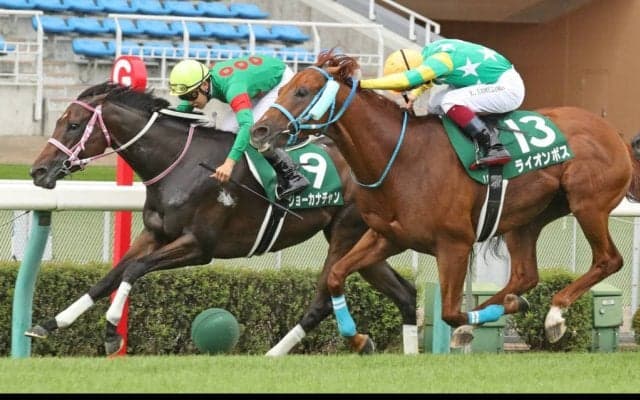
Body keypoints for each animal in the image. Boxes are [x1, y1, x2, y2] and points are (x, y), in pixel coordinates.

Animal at [26, 81, 417, 356]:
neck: (180, 165)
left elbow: (134, 271)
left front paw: (110, 332)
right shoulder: (154, 235)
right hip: (363, 241)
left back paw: (276, 352)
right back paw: (386, 346)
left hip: (344, 232)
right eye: (60, 122)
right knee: (406, 291)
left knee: (323, 299)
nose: (37, 171)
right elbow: (109, 276)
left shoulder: (199, 246)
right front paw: (48, 324)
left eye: (74, 125)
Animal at [250, 50, 640, 347]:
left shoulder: (455, 243)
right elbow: (335, 276)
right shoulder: (387, 236)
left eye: (302, 91)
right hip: (525, 220)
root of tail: (616, 135)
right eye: (283, 89)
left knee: (608, 260)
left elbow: (450, 311)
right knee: (525, 275)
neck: (402, 158)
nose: (259, 130)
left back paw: (554, 314)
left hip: (587, 204)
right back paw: (509, 304)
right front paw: (358, 338)